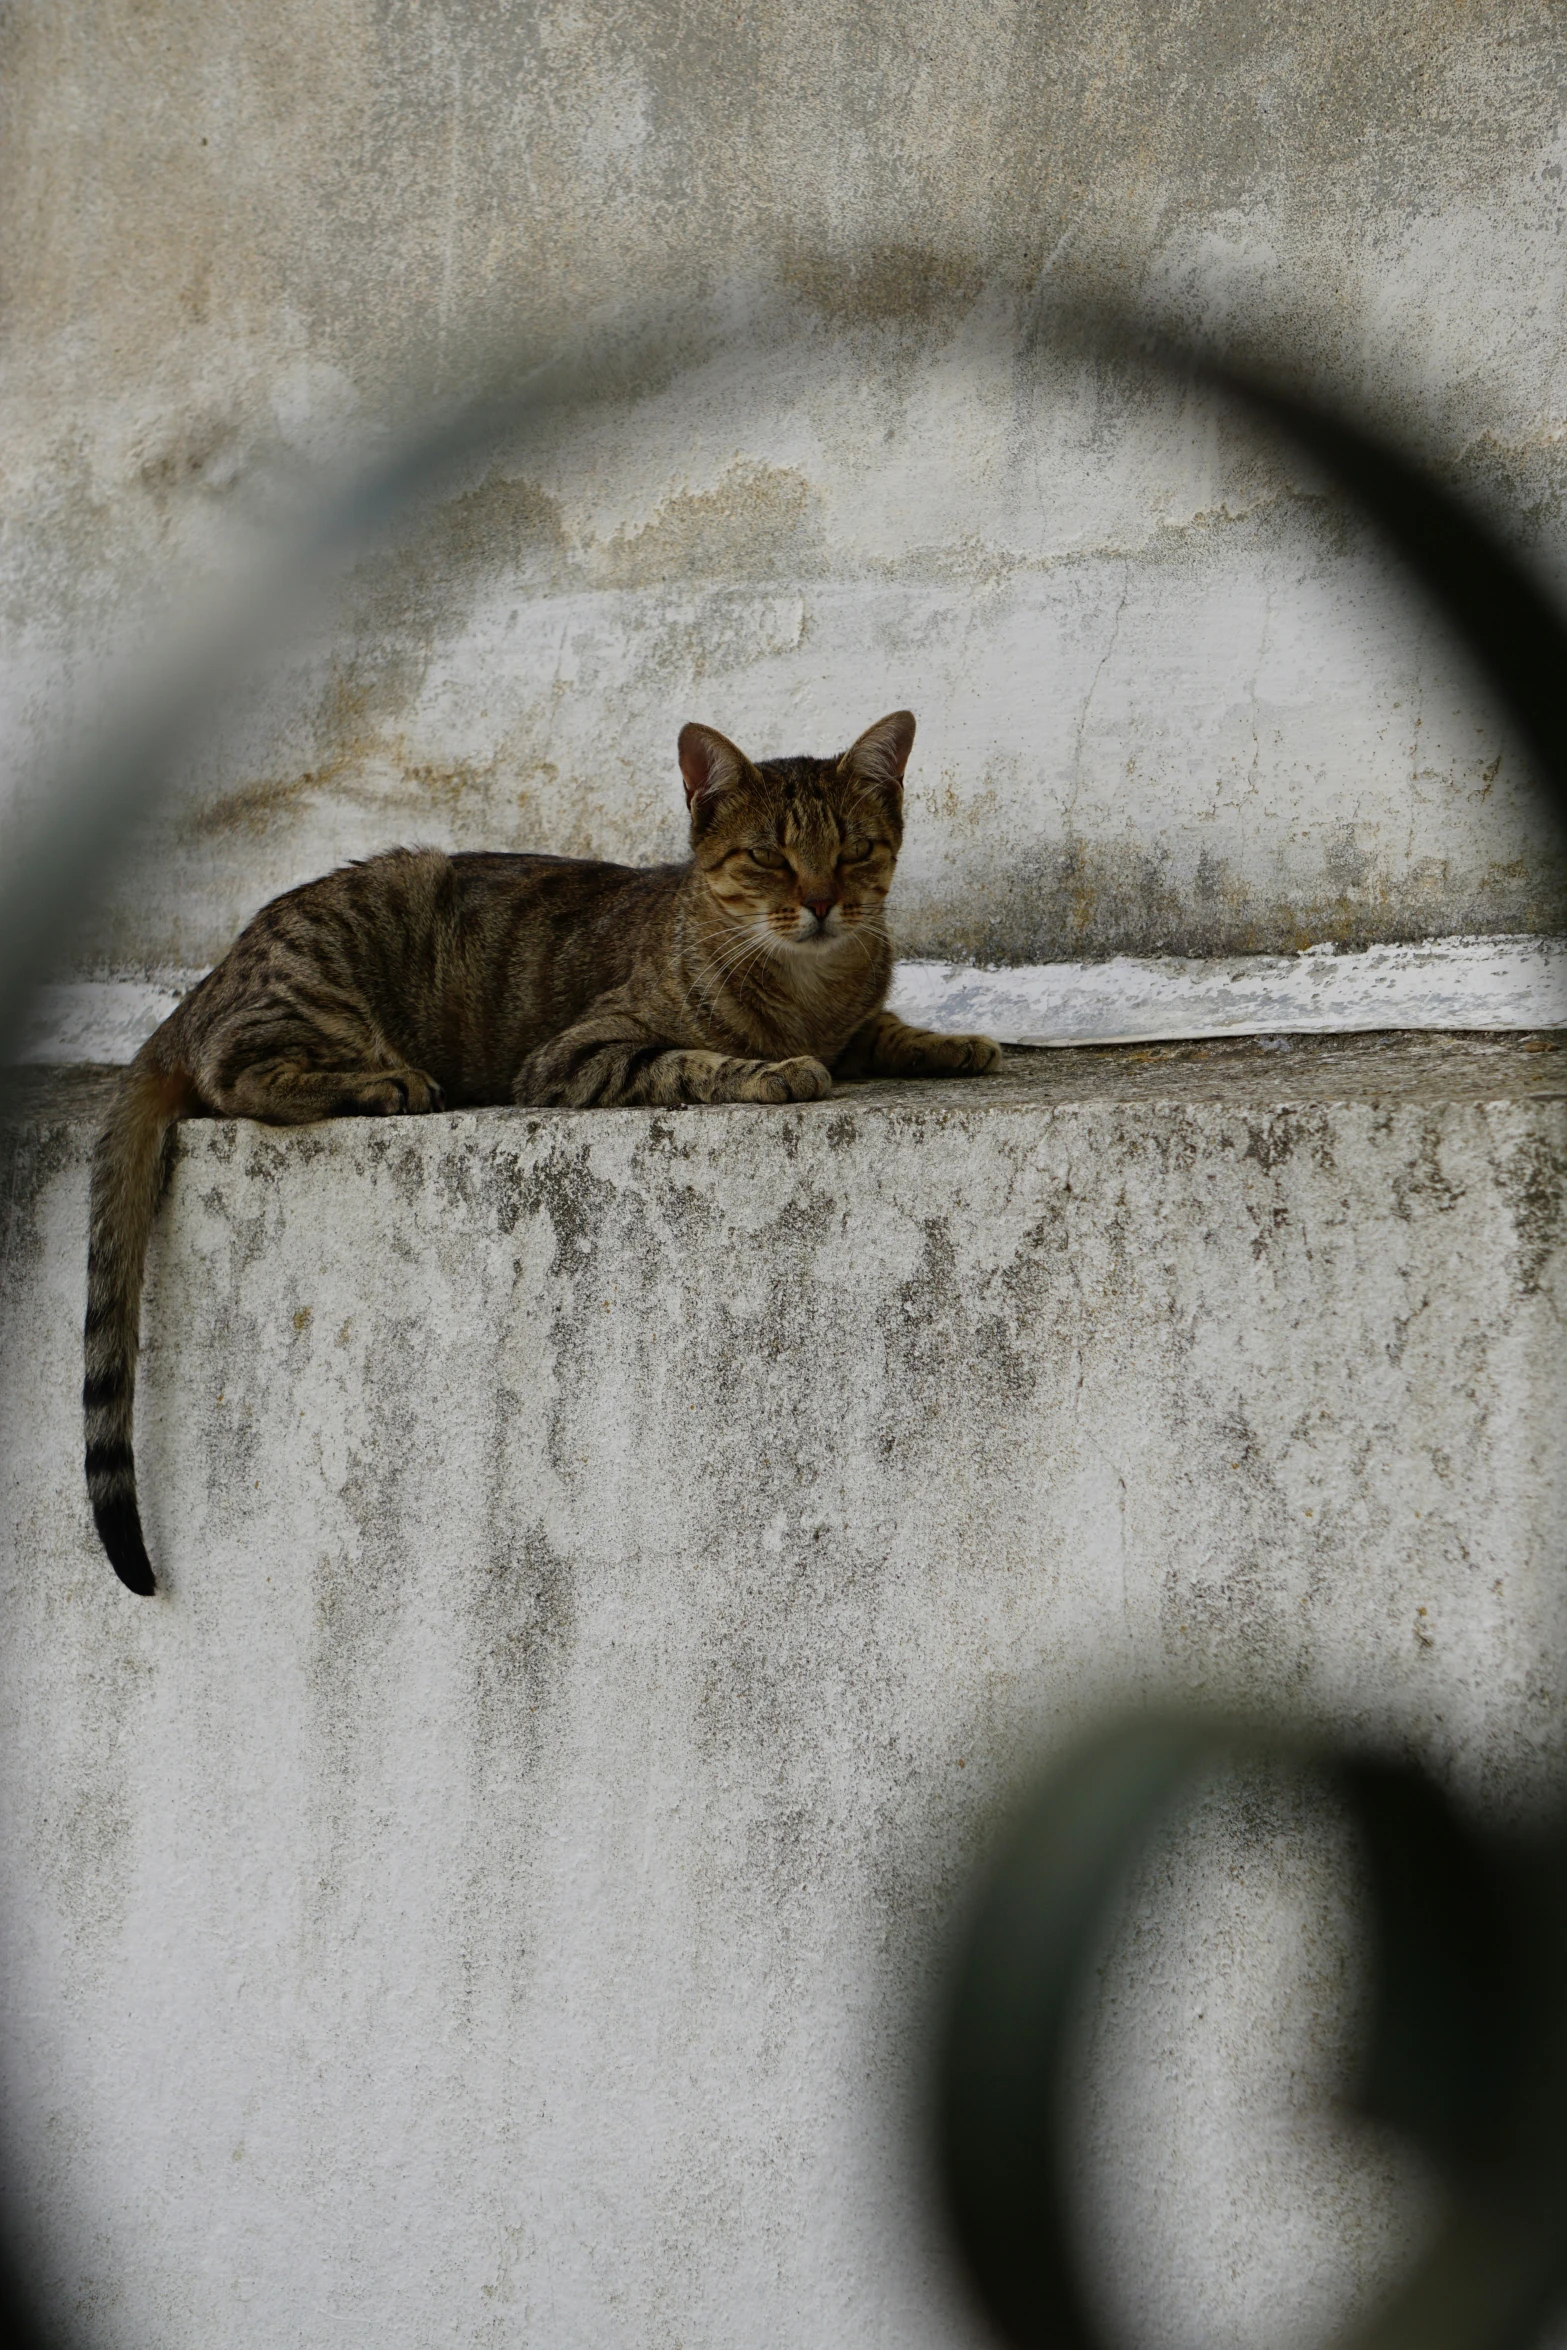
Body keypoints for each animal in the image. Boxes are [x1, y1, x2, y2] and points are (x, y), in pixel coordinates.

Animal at [85, 705, 1000, 1597]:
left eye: (853, 851)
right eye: (769, 857)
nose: (820, 902)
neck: (810, 989)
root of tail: (200, 988)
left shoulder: (852, 1014)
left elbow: (881, 1028)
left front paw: (949, 1041)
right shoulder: (579, 1055)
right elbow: (694, 1060)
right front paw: (774, 1069)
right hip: (330, 974)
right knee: (235, 1073)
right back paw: (385, 1083)